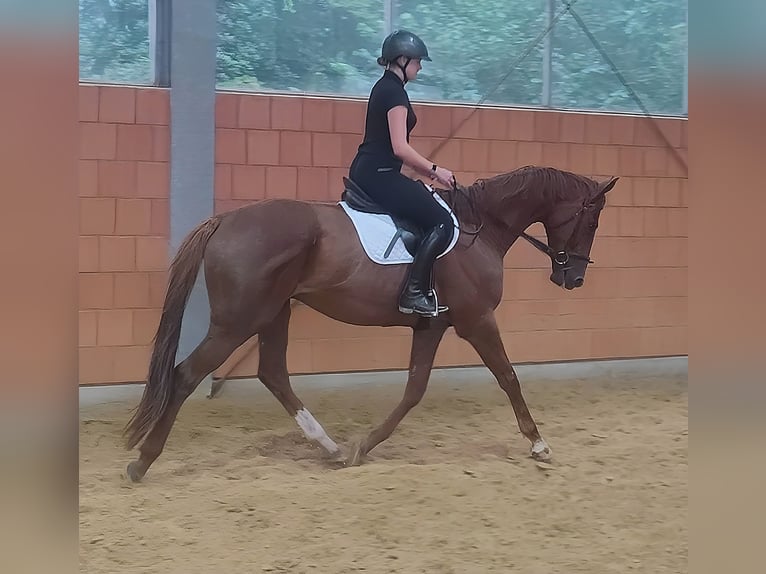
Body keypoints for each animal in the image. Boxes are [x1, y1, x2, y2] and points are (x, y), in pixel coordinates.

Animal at [122, 164, 617, 482]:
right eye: (592, 220)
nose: (573, 278)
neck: (482, 228)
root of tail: (225, 220)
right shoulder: (477, 320)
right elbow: (508, 376)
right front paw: (538, 444)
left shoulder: (432, 326)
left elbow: (414, 389)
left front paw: (364, 445)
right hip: (238, 321)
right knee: (186, 374)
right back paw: (142, 462)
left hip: (274, 312)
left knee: (273, 373)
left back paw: (332, 449)